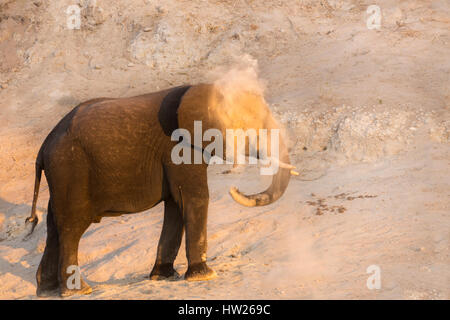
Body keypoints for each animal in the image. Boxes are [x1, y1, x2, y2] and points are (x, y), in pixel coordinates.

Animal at [24, 82, 294, 298]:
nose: (235, 187)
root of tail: (43, 147)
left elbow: (176, 205)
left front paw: (163, 276)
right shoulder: (179, 147)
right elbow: (195, 198)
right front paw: (205, 275)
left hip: (61, 176)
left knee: (53, 227)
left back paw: (47, 290)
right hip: (70, 170)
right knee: (71, 227)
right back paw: (79, 291)